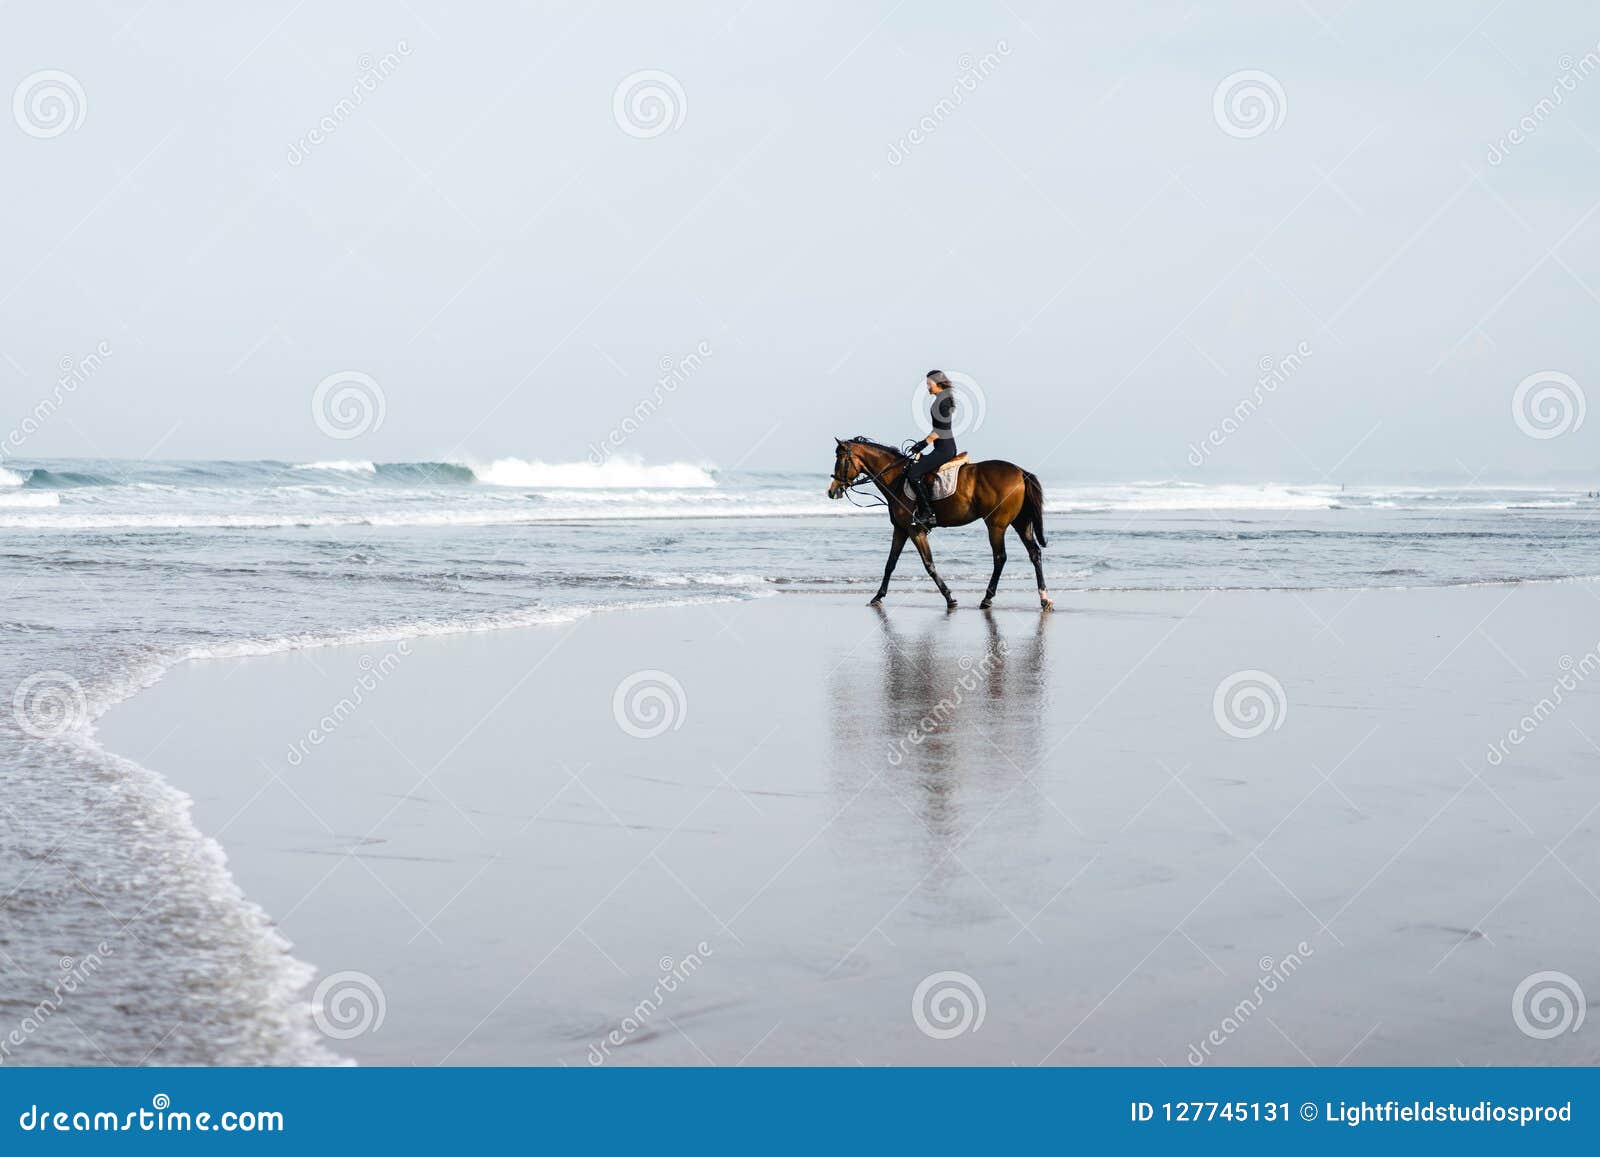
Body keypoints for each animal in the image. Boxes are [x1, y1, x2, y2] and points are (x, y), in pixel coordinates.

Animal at [826, 436, 1053, 612]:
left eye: (840, 459)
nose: (832, 490)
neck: (896, 477)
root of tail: (1020, 472)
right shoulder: (900, 529)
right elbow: (890, 563)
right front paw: (878, 597)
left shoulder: (915, 530)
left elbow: (929, 564)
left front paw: (949, 598)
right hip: (1021, 523)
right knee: (1034, 553)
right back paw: (1044, 599)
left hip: (996, 525)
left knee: (1000, 558)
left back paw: (987, 599)